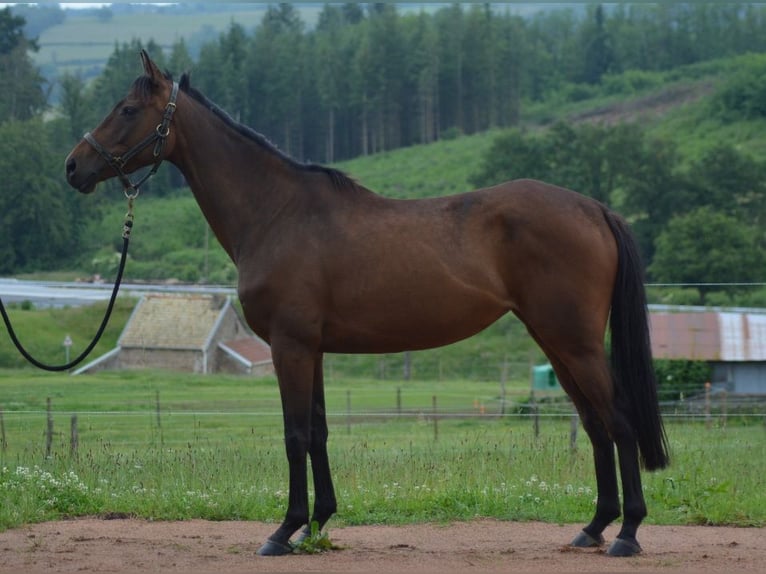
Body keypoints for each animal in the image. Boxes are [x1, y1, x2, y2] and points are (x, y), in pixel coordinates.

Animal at [66, 53, 668, 560]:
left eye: (126, 109)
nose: (74, 166)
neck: (277, 212)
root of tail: (594, 209)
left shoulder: (290, 346)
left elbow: (295, 436)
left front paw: (284, 531)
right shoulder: (313, 349)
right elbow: (319, 431)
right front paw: (316, 525)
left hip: (575, 343)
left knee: (619, 421)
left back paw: (628, 533)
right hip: (557, 343)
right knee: (595, 425)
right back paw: (593, 528)